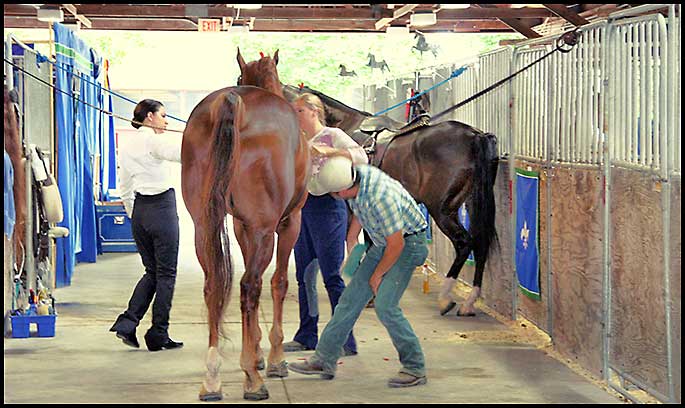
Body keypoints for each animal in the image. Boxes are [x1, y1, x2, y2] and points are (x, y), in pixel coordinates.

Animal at [183, 49, 308, 400]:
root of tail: (232, 102)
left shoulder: (241, 226)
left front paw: (256, 352)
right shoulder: (288, 223)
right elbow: (278, 283)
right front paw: (273, 358)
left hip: (202, 226)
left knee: (214, 285)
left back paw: (213, 377)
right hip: (267, 230)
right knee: (249, 286)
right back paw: (253, 380)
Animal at [280, 83, 494, 316]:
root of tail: (474, 136)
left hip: (442, 210)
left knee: (464, 243)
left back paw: (445, 298)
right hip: (471, 204)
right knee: (481, 244)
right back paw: (469, 302)